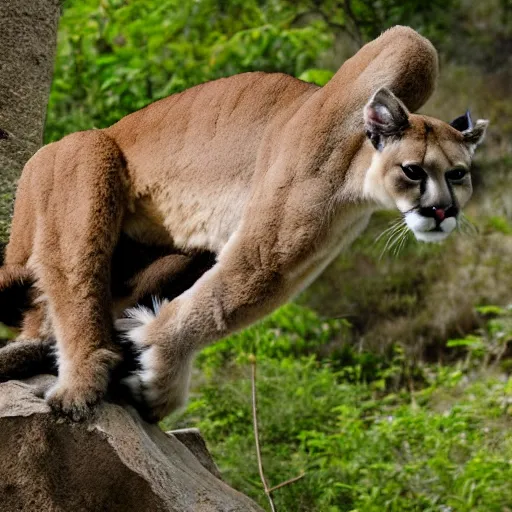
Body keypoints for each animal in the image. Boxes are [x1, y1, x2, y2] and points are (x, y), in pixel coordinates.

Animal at [0, 25, 488, 420]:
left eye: (458, 174)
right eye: (413, 171)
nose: (443, 211)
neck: (356, 176)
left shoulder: (301, 252)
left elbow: (222, 306)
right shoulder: (270, 246)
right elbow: (214, 306)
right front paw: (160, 369)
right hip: (85, 159)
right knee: (72, 279)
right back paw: (80, 385)